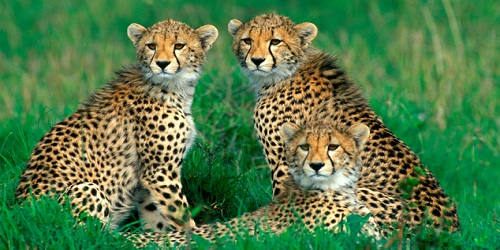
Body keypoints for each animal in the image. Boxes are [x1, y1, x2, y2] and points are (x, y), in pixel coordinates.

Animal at [15, 19, 218, 232]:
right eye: (151, 46)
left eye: (179, 46)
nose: (162, 64)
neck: (172, 87)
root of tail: (20, 216)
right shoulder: (159, 172)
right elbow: (181, 215)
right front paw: (195, 233)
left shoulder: (148, 177)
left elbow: (156, 216)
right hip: (85, 188)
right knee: (92, 234)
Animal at [229, 13, 458, 232]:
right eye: (247, 40)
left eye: (276, 41)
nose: (257, 60)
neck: (286, 73)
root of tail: (450, 230)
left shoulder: (286, 164)